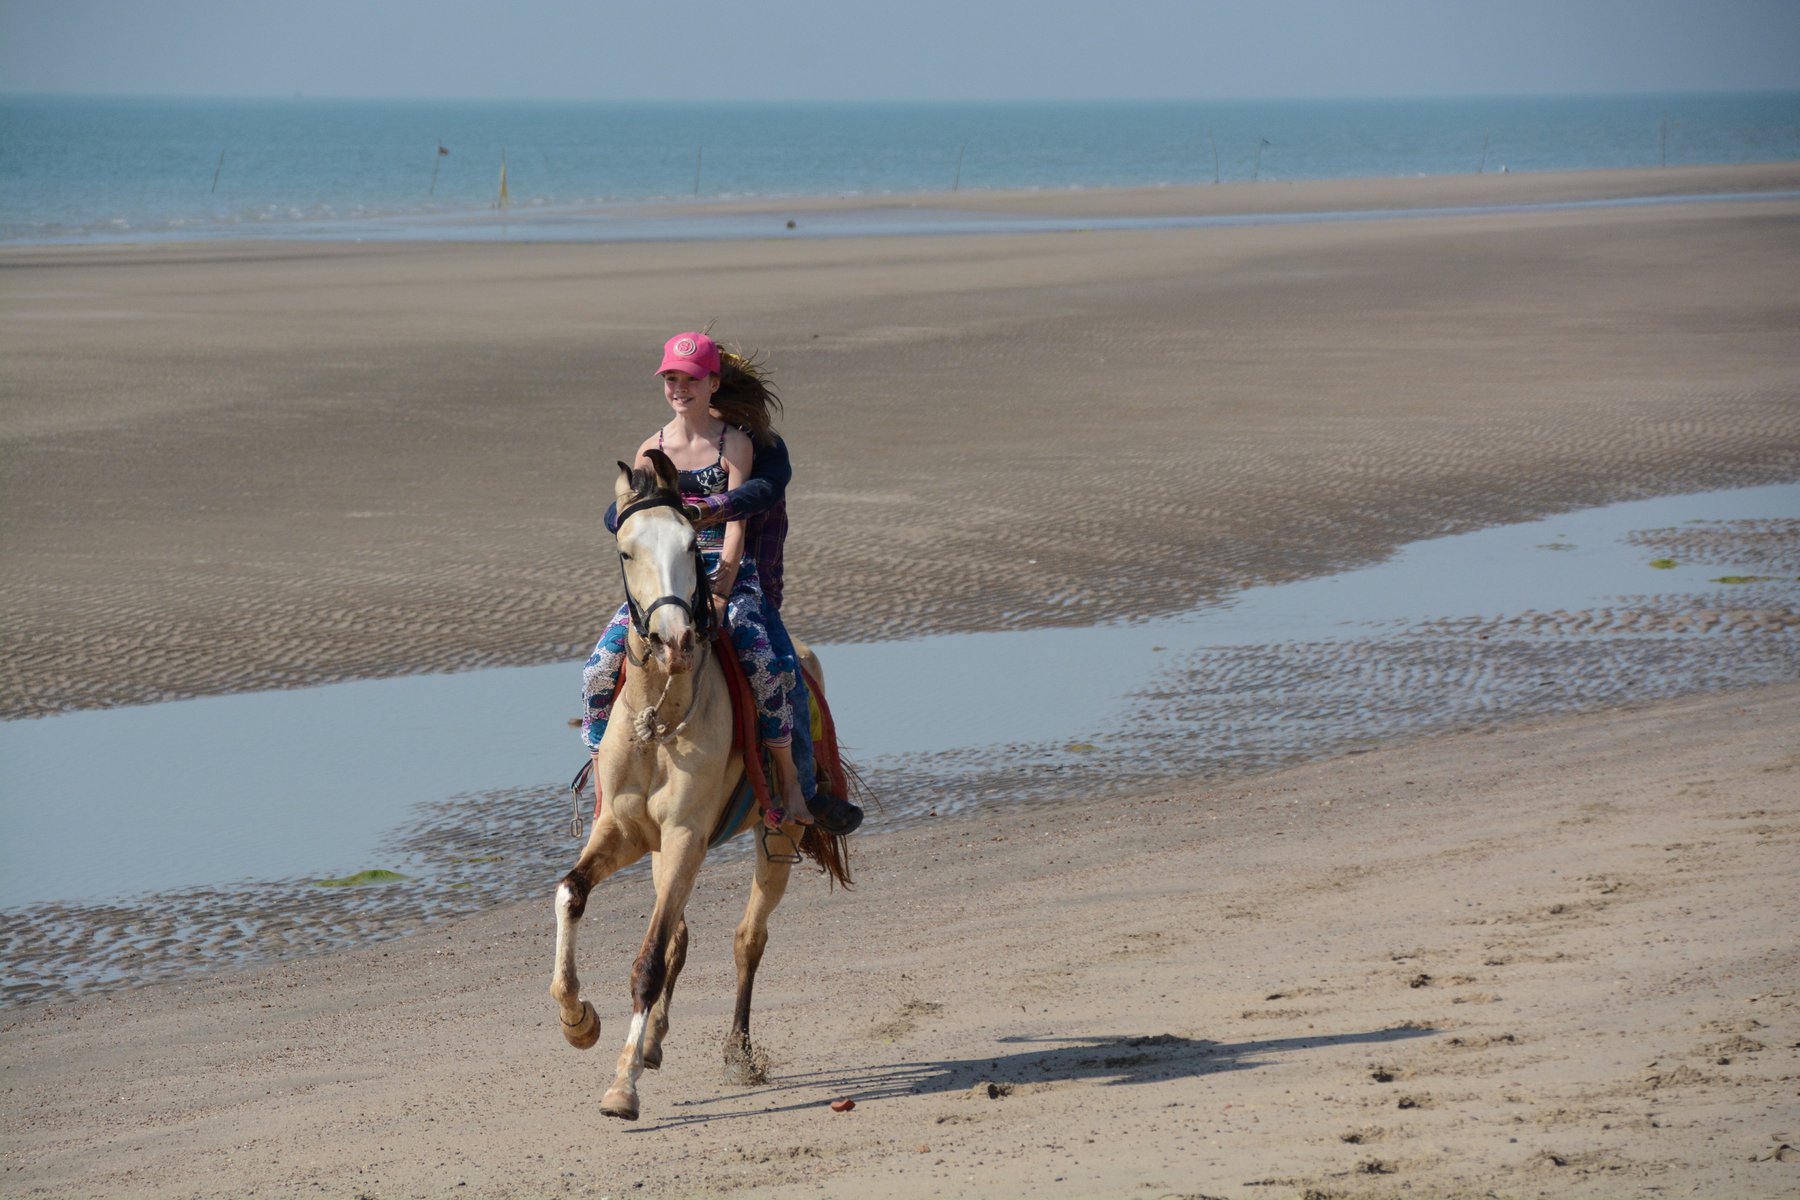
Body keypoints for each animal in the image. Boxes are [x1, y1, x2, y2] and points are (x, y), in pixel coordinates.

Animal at [547, 453, 849, 1129]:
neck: (660, 716)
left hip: (778, 835)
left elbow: (649, 960)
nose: (676, 640)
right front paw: (579, 1020)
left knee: (746, 939)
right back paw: (653, 1043)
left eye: (693, 544)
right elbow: (572, 894)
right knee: (683, 938)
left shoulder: (686, 834)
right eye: (627, 550)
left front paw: (622, 1089)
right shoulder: (627, 833)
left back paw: (738, 1053)